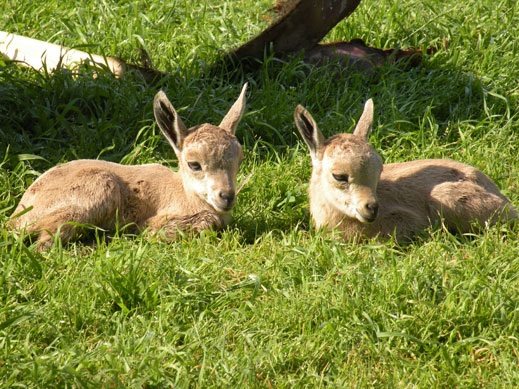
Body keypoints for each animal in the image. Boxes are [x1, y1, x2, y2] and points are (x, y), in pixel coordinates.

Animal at [9, 83, 249, 250]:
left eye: (239, 160)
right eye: (194, 164)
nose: (227, 196)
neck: (186, 195)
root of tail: (18, 216)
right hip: (94, 193)